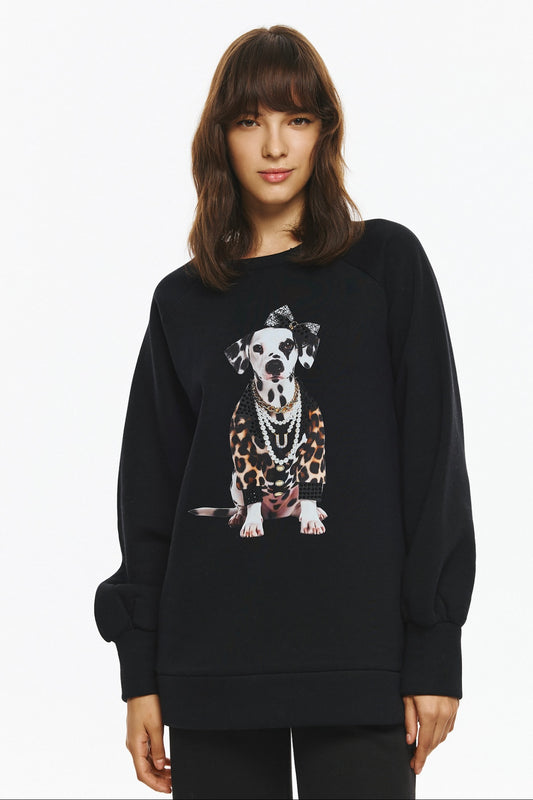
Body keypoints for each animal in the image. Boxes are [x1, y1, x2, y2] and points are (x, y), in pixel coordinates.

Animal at [188, 304, 327, 537]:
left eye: (288, 344)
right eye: (257, 348)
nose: (274, 365)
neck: (278, 405)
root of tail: (276, 513)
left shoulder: (313, 451)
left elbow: (310, 490)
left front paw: (311, 520)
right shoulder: (245, 459)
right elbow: (252, 498)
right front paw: (252, 523)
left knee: (301, 501)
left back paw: (314, 511)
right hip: (235, 480)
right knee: (244, 505)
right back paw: (239, 517)